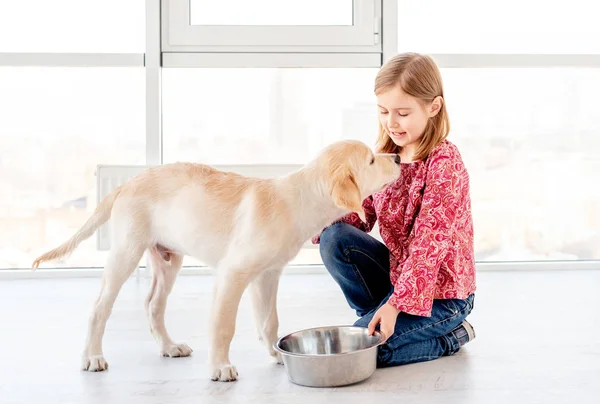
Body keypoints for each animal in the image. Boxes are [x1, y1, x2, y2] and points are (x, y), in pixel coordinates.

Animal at [31, 140, 398, 382]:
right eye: (370, 160)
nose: (395, 155)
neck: (298, 200)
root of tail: (127, 183)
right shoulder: (233, 274)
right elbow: (224, 325)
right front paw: (220, 367)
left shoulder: (267, 275)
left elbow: (269, 322)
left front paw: (276, 353)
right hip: (126, 252)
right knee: (99, 308)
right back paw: (93, 357)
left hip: (168, 260)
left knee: (153, 305)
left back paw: (169, 346)